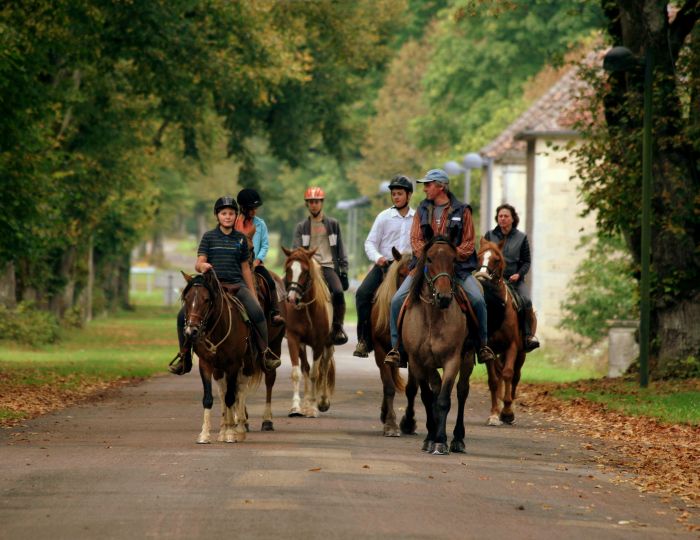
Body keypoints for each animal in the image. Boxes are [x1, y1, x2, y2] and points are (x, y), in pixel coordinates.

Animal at [180, 272, 262, 446]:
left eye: (206, 299)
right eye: (187, 299)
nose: (191, 331)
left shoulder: (233, 365)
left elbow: (231, 397)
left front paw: (231, 433)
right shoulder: (205, 364)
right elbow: (209, 398)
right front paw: (205, 434)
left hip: (247, 365)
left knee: (240, 390)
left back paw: (239, 428)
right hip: (219, 369)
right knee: (223, 391)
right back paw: (224, 428)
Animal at [280, 247, 334, 420]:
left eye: (305, 271)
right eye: (288, 270)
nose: (291, 298)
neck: (307, 309)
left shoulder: (319, 343)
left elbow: (315, 374)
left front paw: (312, 407)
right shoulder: (293, 339)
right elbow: (298, 373)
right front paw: (296, 407)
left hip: (328, 345)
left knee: (324, 366)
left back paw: (322, 401)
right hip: (302, 345)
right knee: (305, 367)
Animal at [400, 234, 476, 454]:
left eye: (454, 260)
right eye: (430, 259)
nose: (444, 297)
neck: (433, 317)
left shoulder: (452, 360)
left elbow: (443, 400)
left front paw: (441, 441)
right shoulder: (418, 362)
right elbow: (428, 398)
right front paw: (430, 438)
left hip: (468, 358)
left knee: (461, 392)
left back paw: (458, 439)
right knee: (435, 390)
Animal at [476, 239, 536, 426]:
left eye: (496, 259)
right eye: (478, 256)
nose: (481, 276)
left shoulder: (512, 346)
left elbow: (508, 374)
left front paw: (508, 411)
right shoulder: (489, 349)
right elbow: (494, 380)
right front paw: (495, 414)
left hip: (522, 353)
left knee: (515, 376)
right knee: (500, 373)